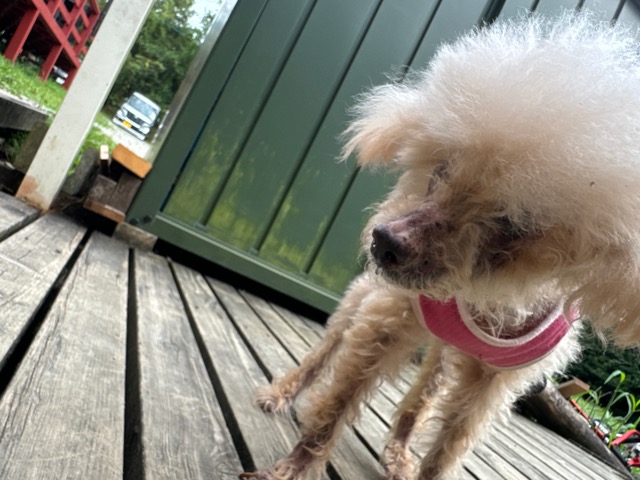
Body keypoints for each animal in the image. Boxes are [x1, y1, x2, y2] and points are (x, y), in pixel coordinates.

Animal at [239, 13, 640, 480]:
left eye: (513, 221)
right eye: (443, 169)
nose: (385, 241)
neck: (490, 301)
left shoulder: (489, 388)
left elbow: (448, 449)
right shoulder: (385, 318)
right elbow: (335, 406)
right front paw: (293, 467)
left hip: (444, 358)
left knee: (421, 399)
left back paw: (399, 450)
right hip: (362, 303)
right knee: (323, 355)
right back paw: (282, 393)